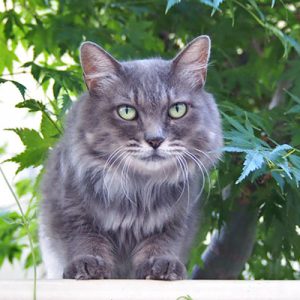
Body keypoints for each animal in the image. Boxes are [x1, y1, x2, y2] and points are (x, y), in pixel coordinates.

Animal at [38, 35, 223, 282]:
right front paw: (88, 266)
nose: (155, 140)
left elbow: (160, 245)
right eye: (127, 112)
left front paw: (161, 267)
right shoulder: (70, 211)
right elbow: (86, 241)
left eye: (177, 110)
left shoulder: (176, 220)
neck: (138, 187)